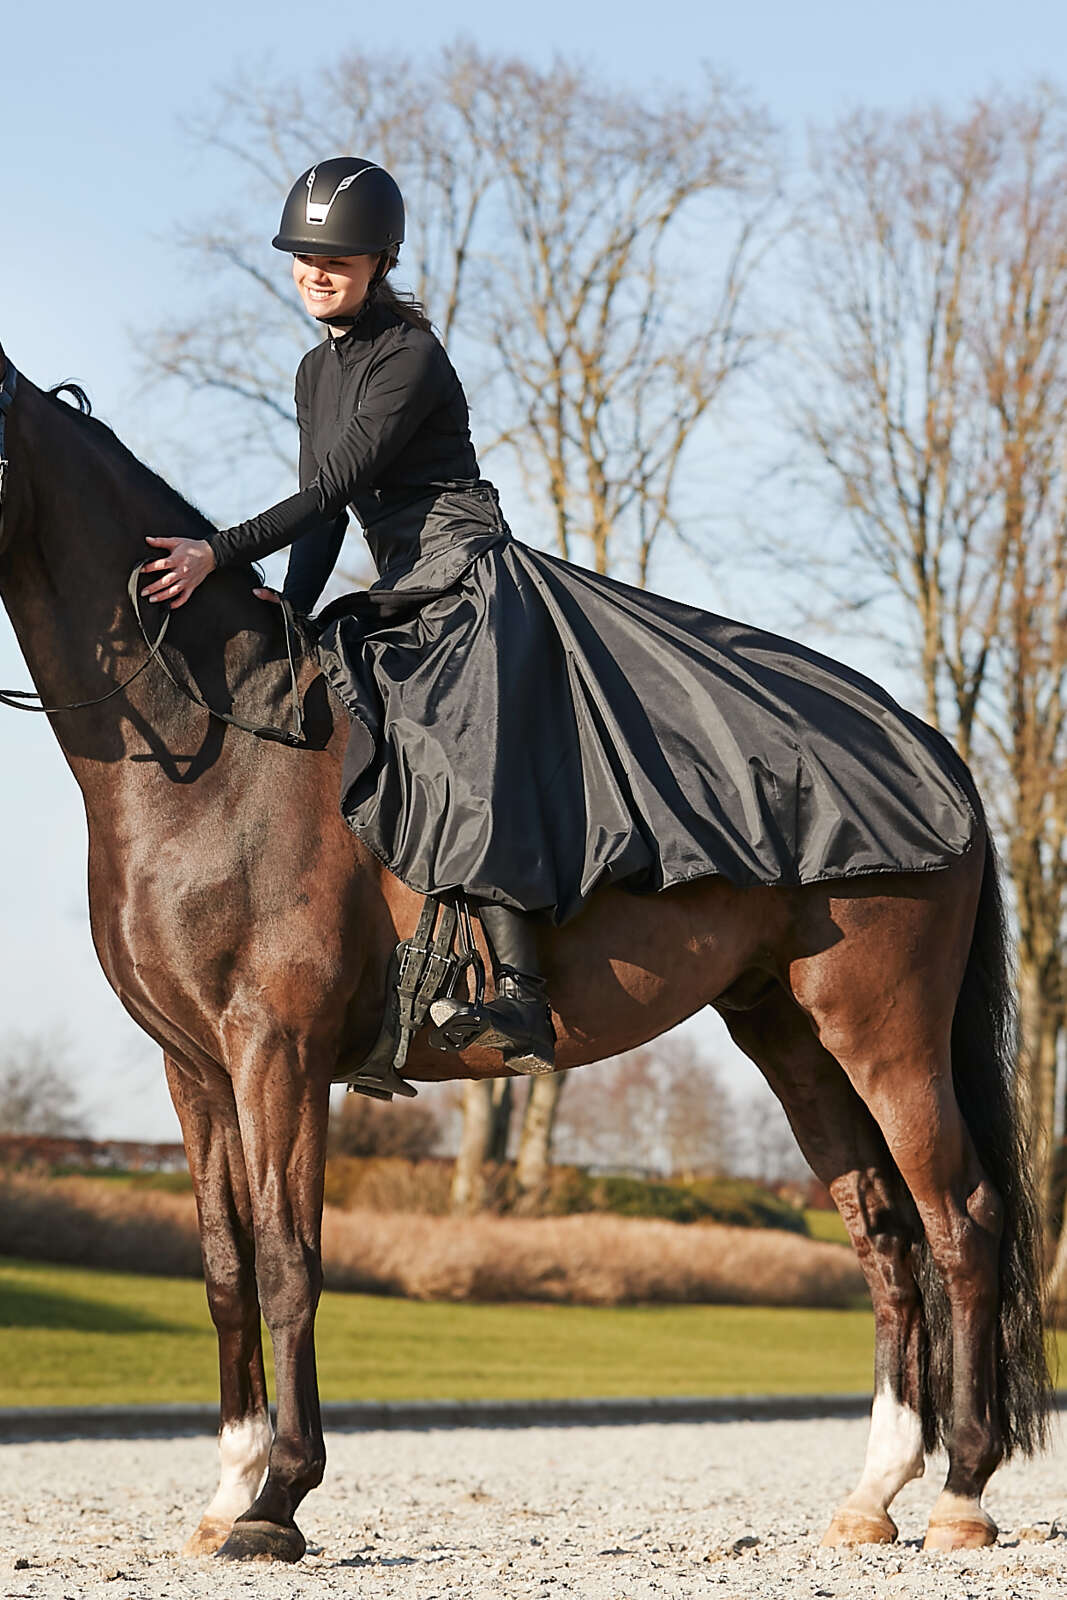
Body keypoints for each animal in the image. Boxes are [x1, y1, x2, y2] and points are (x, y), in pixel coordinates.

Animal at [0, 344, 1050, 1561]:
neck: (223, 748)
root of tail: (930, 742)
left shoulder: (278, 1055)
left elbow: (288, 1260)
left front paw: (280, 1497)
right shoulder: (197, 1070)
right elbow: (223, 1269)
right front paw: (228, 1491)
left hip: (885, 1032)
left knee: (959, 1224)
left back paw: (960, 1492)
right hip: (787, 1033)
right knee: (881, 1233)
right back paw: (873, 1490)